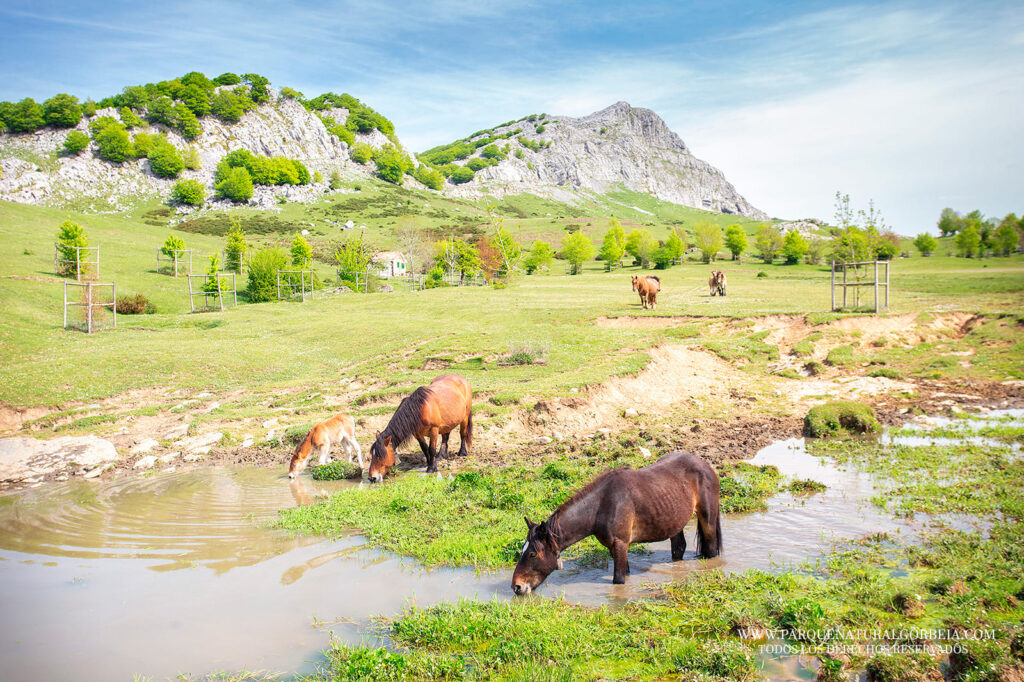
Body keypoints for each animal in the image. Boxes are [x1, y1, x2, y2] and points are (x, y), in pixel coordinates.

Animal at [509, 446, 720, 589]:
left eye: (532, 554)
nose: (517, 587)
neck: (602, 506)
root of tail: (704, 464)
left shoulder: (620, 544)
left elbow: (618, 581)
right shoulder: (615, 547)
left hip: (707, 519)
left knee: (711, 550)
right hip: (674, 522)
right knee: (679, 548)